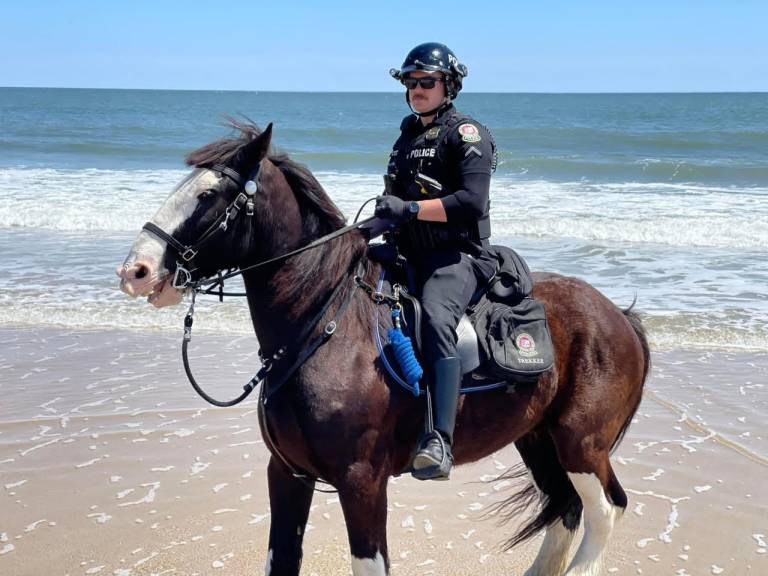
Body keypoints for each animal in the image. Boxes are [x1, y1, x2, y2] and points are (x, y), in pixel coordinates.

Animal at [117, 120, 650, 576]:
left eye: (208, 194)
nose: (134, 271)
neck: (324, 323)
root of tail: (617, 316)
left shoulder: (361, 481)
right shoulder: (287, 473)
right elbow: (281, 560)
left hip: (580, 443)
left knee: (606, 509)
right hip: (539, 440)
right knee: (567, 510)